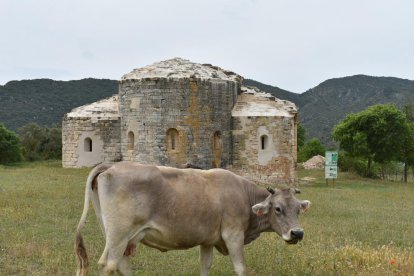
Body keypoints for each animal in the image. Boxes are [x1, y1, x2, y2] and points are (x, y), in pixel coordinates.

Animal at [76, 162, 310, 276]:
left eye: (299, 209)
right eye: (278, 209)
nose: (297, 233)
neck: (244, 194)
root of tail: (111, 166)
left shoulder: (207, 240)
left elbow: (205, 266)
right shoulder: (233, 235)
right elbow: (241, 268)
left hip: (117, 237)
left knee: (121, 266)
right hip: (119, 234)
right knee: (108, 266)